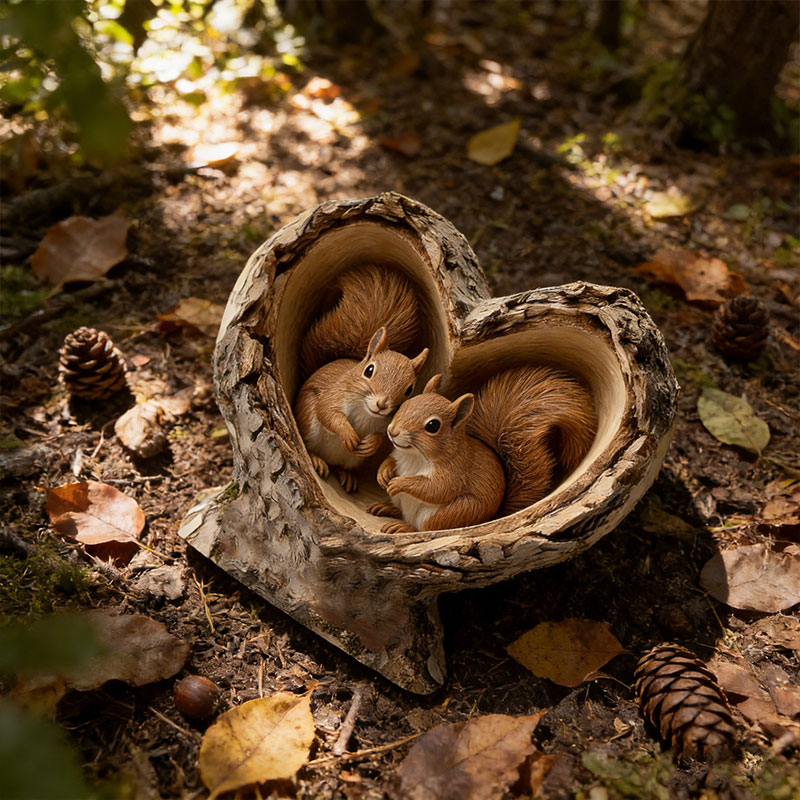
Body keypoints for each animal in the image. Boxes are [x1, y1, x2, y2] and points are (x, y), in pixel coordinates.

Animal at [294, 265, 429, 494]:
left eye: (410, 389)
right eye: (369, 370)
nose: (382, 404)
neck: (366, 412)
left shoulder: (388, 423)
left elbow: (383, 438)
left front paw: (370, 444)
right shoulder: (334, 393)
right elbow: (327, 412)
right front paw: (348, 434)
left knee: (339, 466)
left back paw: (346, 475)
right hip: (306, 417)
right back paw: (317, 460)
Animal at [367, 367, 597, 533]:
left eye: (433, 426)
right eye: (407, 403)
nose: (393, 431)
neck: (414, 455)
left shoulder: (455, 470)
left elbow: (437, 489)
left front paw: (399, 483)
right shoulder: (398, 454)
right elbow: (390, 460)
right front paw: (383, 474)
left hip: (457, 511)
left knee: (425, 528)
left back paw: (403, 527)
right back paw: (387, 508)